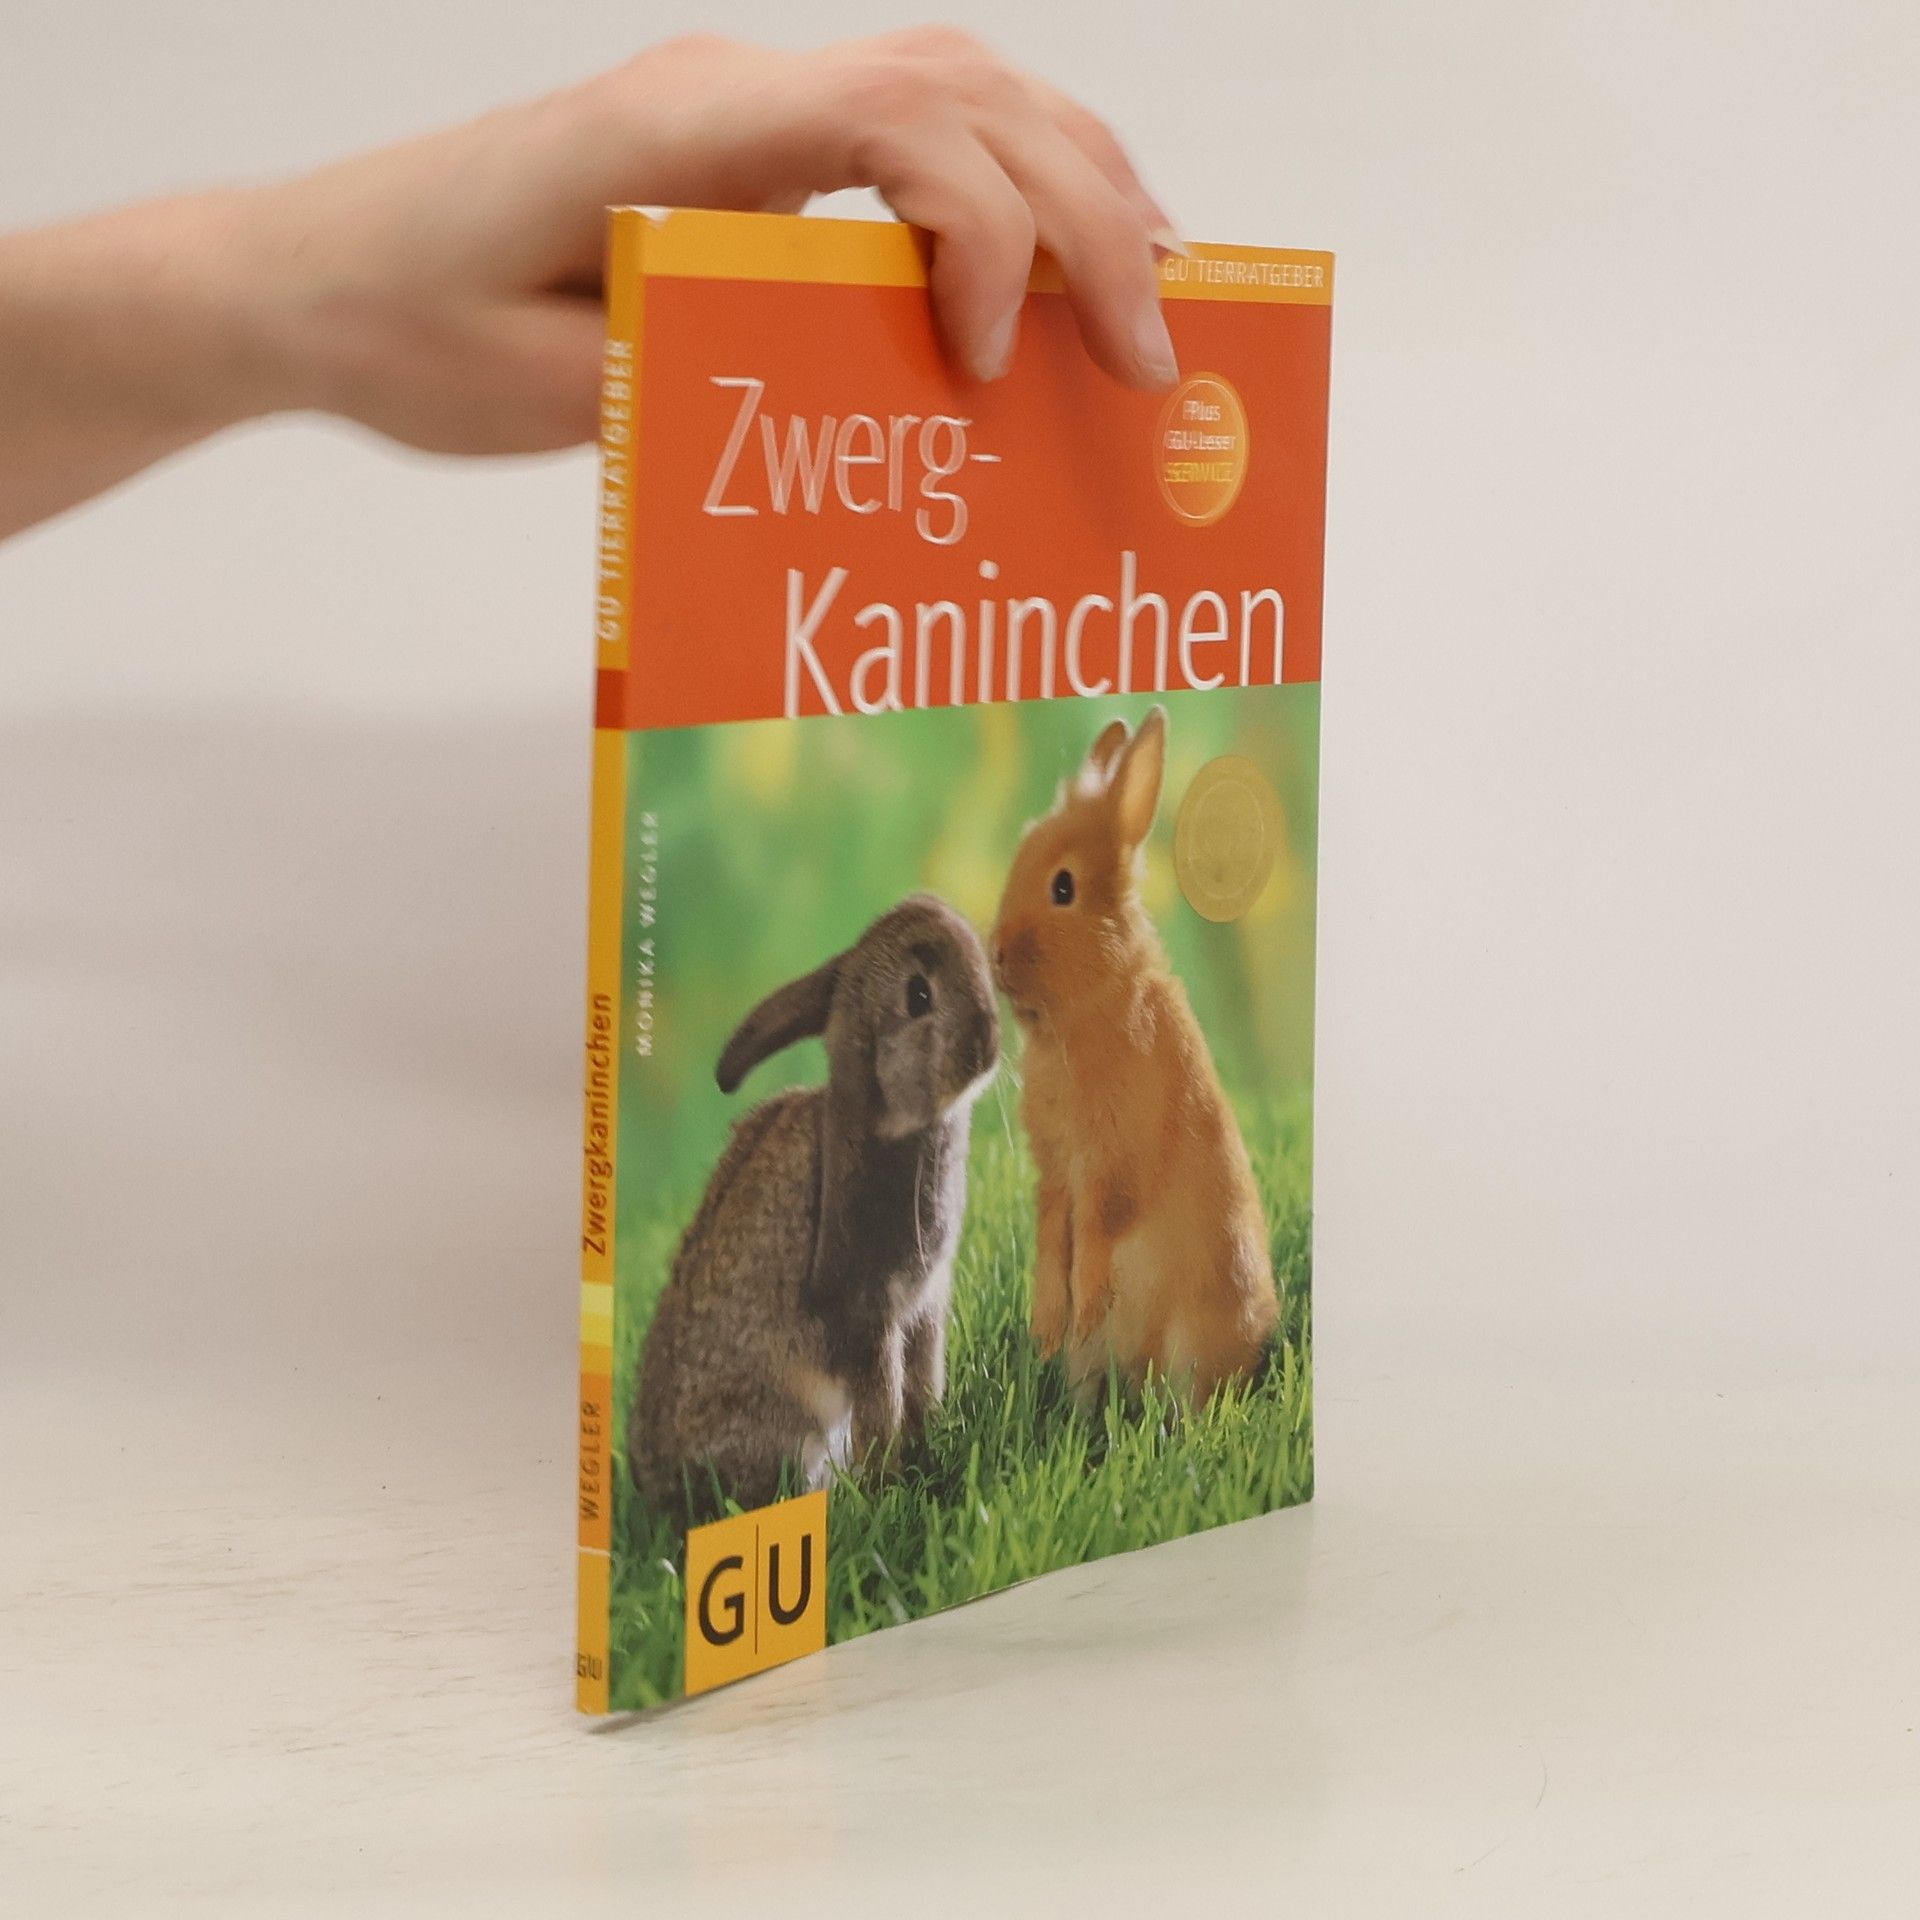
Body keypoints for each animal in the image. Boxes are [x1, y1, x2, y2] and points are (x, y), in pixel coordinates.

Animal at [630, 894, 999, 1521]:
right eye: (918, 995)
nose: (989, 1045)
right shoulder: (869, 1312)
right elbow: (884, 1404)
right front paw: (891, 1484)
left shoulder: (924, 1305)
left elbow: (925, 1382)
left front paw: (929, 1447)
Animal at [990, 708, 1278, 1405]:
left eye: (1063, 887)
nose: (996, 955)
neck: (1095, 1001)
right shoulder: (1055, 1173)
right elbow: (1052, 1236)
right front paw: (1047, 1322)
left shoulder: (1109, 1160)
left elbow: (1098, 1226)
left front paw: (1087, 1299)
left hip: (1192, 1341)